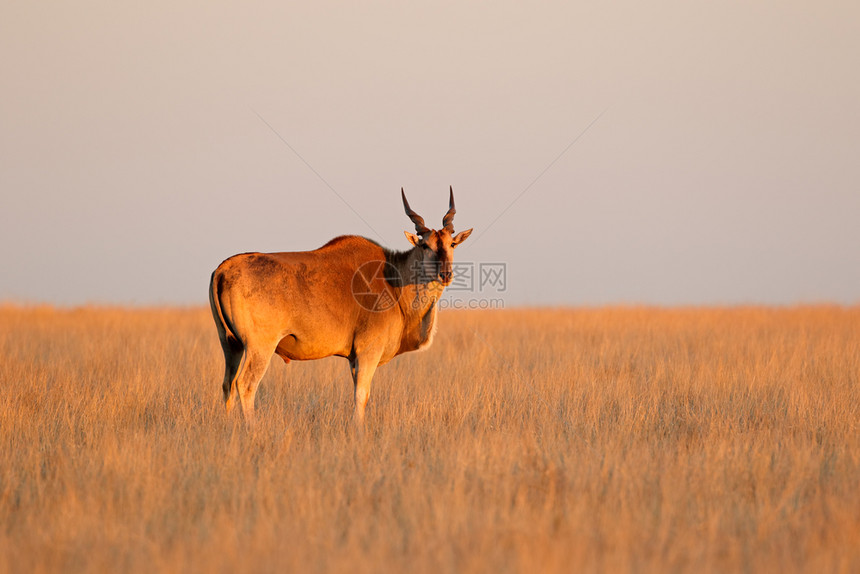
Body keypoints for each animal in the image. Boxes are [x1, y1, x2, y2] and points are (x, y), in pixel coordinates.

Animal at [211, 189, 474, 428]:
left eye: (451, 244)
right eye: (425, 246)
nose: (445, 274)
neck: (393, 279)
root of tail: (223, 268)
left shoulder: (353, 359)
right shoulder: (368, 352)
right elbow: (361, 396)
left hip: (231, 345)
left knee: (227, 384)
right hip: (259, 348)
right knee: (245, 385)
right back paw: (252, 429)